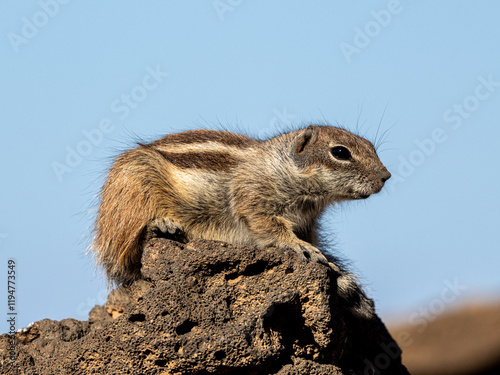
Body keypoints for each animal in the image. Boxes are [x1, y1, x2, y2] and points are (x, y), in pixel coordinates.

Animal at [93, 125, 390, 318]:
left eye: (371, 147)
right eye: (340, 152)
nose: (385, 176)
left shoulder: (308, 224)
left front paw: (326, 261)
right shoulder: (253, 199)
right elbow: (270, 227)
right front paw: (299, 247)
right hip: (131, 194)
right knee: (126, 252)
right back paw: (160, 226)